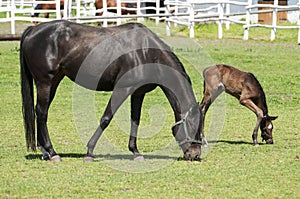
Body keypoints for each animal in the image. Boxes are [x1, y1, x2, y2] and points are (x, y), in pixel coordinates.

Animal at [20, 20, 202, 162]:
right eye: (194, 127)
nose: (195, 154)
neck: (145, 52)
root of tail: (33, 30)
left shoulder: (138, 92)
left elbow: (135, 120)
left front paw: (135, 152)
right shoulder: (122, 89)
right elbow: (106, 118)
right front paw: (89, 151)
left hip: (53, 82)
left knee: (39, 112)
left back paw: (45, 152)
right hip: (45, 82)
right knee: (42, 113)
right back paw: (52, 152)